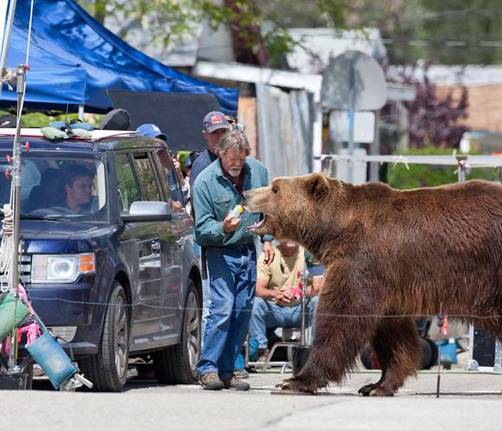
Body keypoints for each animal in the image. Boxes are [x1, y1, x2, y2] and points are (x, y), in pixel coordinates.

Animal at [245, 174, 502, 396]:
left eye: (275, 188)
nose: (247, 193)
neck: (335, 229)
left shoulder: (363, 261)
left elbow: (341, 318)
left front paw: (294, 381)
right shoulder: (389, 284)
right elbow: (394, 335)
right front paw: (377, 385)